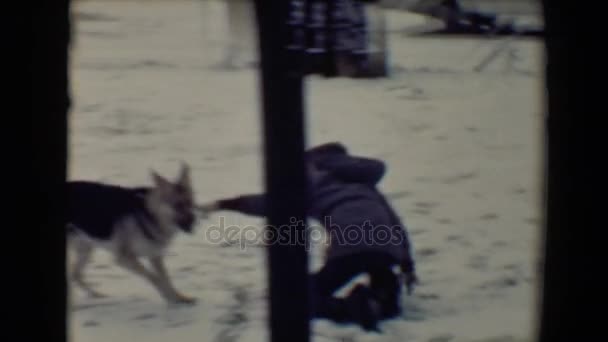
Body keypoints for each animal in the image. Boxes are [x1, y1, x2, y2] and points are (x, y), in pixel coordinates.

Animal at [67, 164, 198, 304]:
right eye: (177, 205)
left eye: (190, 202)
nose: (193, 222)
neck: (149, 213)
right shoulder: (124, 258)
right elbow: (155, 278)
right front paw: (169, 298)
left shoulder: (155, 256)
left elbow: (166, 279)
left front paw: (179, 298)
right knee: (75, 274)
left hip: (86, 250)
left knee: (75, 274)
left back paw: (95, 294)